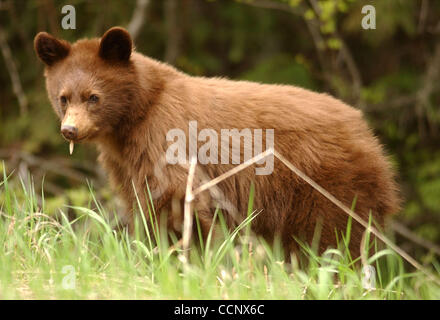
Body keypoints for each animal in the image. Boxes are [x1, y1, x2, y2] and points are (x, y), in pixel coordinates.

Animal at [33, 26, 398, 256]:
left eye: (93, 97)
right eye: (63, 97)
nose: (70, 130)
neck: (136, 114)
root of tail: (366, 132)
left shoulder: (166, 136)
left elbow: (179, 200)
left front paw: (183, 260)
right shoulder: (125, 163)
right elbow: (144, 203)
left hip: (328, 184)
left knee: (334, 239)